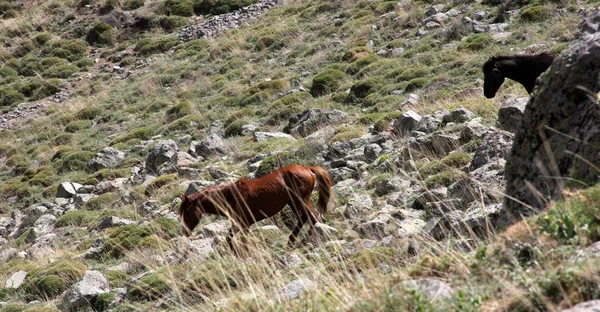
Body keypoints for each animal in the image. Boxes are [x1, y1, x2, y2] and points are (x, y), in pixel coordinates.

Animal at [178, 165, 332, 250]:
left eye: (187, 210)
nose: (185, 231)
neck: (230, 197)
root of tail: (308, 169)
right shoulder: (239, 224)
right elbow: (229, 239)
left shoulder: (243, 225)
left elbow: (241, 242)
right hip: (293, 202)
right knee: (304, 218)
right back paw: (291, 242)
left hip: (300, 200)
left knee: (312, 217)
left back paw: (308, 241)